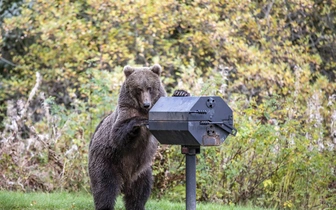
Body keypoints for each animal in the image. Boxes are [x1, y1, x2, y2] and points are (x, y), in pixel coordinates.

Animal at [88, 64, 167, 210]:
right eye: (139, 89)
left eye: (150, 87)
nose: (146, 104)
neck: (144, 111)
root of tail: (125, 182)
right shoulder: (125, 111)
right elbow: (118, 135)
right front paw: (137, 122)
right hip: (107, 163)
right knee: (105, 189)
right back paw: (105, 205)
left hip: (141, 172)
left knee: (140, 192)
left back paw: (136, 206)